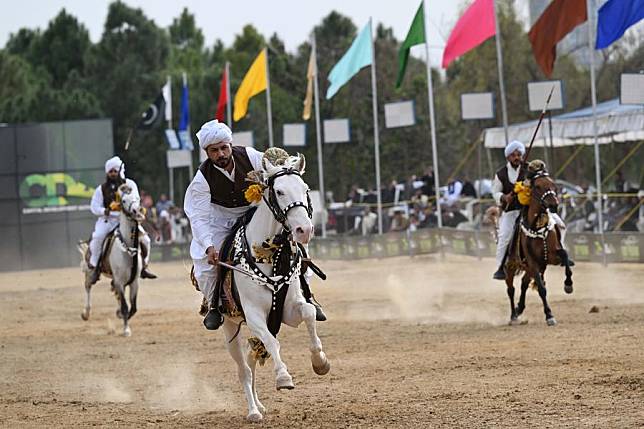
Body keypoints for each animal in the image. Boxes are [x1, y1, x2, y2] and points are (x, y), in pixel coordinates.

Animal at [78, 182, 145, 336]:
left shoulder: (134, 282)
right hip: (91, 272)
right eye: (124, 200)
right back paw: (86, 313)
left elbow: (133, 307)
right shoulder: (119, 281)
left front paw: (120, 315)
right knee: (87, 286)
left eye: (138, 198)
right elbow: (126, 306)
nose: (137, 211)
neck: (127, 251)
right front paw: (126, 329)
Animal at [223, 154, 330, 422]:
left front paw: (320, 361)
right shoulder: (253, 316)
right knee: (244, 368)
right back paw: (253, 411)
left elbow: (309, 313)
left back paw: (259, 405)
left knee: (252, 359)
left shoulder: (289, 311)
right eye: (279, 191)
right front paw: (283, 377)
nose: (305, 230)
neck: (267, 255)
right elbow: (273, 344)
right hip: (230, 327)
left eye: (306, 189)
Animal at [504, 169, 572, 326]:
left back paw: (519, 308)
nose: (554, 205)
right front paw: (549, 315)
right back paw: (513, 315)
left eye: (554, 185)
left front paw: (568, 284)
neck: (537, 226)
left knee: (523, 284)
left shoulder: (552, 257)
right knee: (511, 289)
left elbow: (565, 256)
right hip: (512, 266)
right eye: (538, 186)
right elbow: (541, 289)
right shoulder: (533, 263)